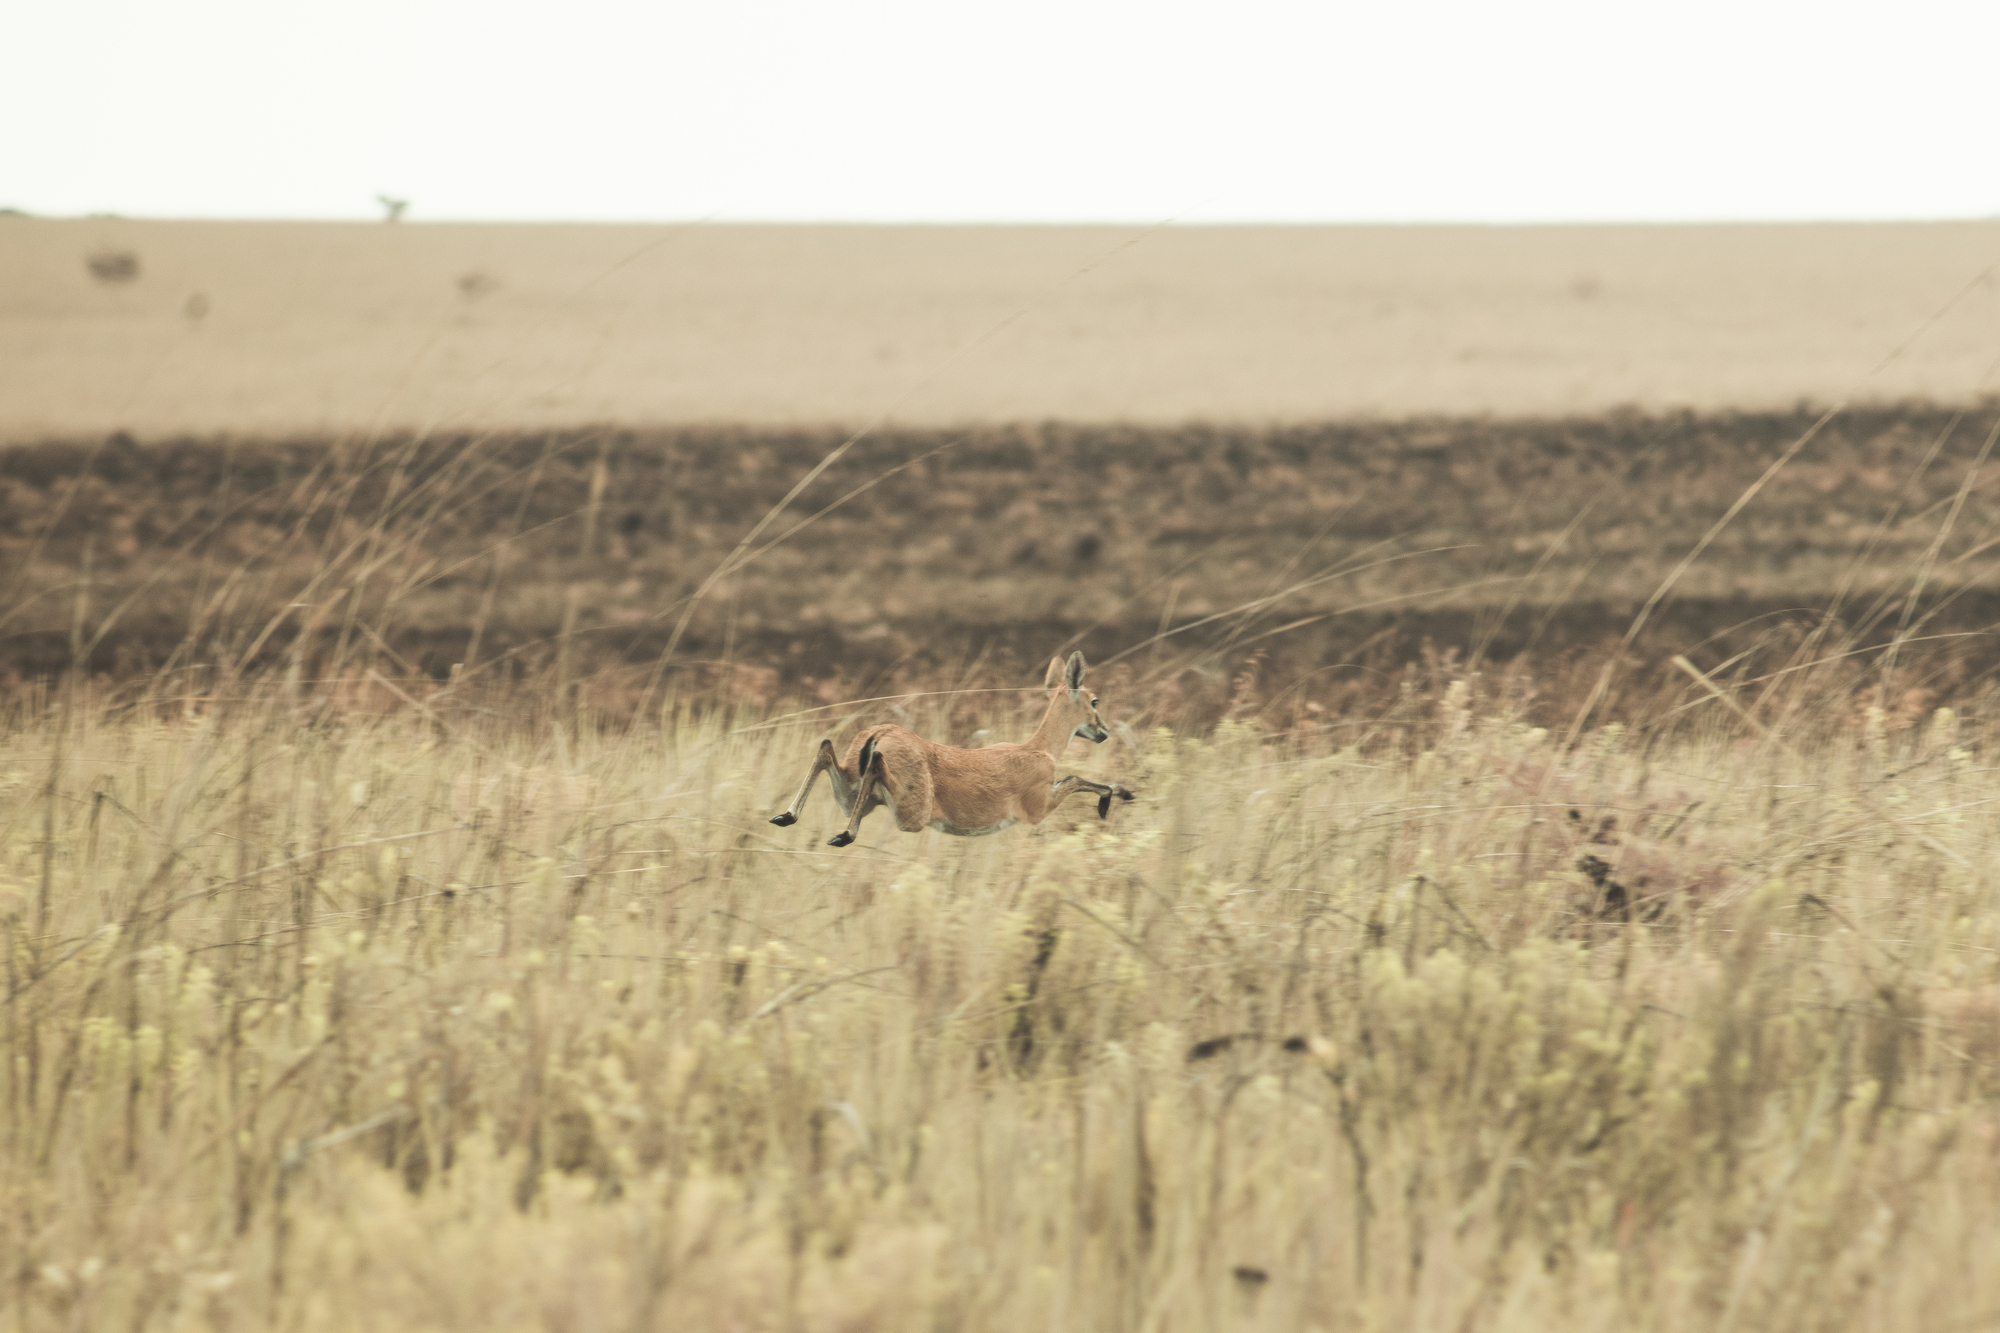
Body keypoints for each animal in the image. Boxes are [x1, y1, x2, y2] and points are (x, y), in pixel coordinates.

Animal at [772, 648, 1136, 844]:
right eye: (1094, 700)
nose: (1104, 732)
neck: (1040, 749)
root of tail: (880, 733)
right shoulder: (1037, 808)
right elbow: (1075, 778)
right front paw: (1117, 796)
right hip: (910, 814)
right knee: (871, 763)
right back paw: (842, 836)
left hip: (853, 794)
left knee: (826, 747)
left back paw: (785, 817)